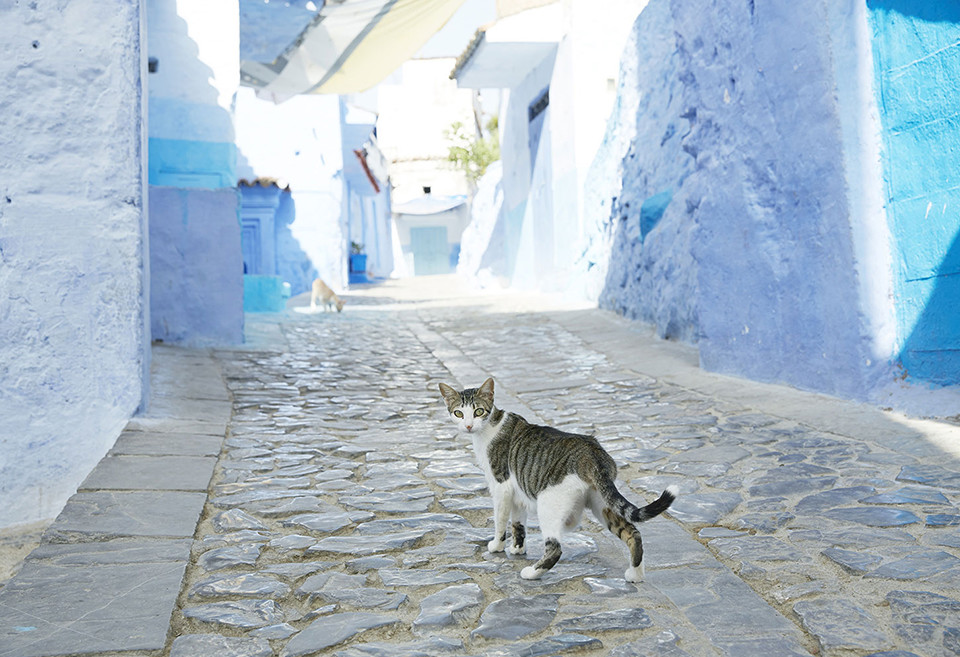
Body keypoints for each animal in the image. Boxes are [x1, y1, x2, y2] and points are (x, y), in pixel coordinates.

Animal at [440, 376, 676, 580]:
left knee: (555, 548)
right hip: (602, 502)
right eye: (459, 413)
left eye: (478, 411)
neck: (490, 426)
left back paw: (532, 573)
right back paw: (635, 575)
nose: (468, 425)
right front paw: (517, 548)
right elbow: (518, 523)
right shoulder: (517, 493)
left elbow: (500, 521)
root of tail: (593, 452)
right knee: (633, 533)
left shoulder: (501, 486)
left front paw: (497, 546)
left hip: (549, 503)